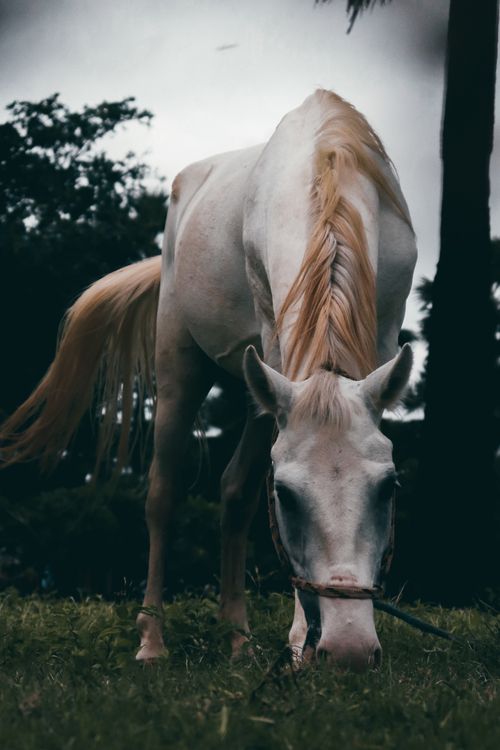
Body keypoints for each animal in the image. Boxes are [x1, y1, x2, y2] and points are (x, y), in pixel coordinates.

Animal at [1, 89, 417, 671]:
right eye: (286, 495)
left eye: (388, 487)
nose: (348, 651)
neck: (328, 164)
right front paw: (297, 641)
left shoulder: (379, 339)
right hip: (181, 366)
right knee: (163, 492)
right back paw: (152, 641)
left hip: (256, 388)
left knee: (235, 491)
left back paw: (238, 638)